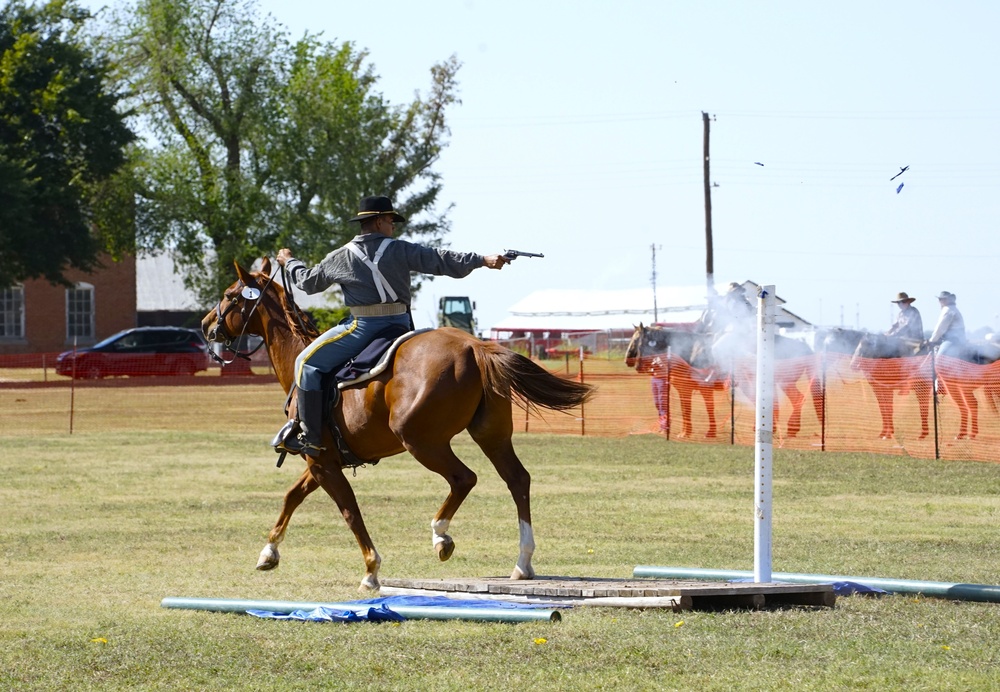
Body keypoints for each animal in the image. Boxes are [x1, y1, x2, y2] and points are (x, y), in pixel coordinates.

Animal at [201, 260, 592, 588]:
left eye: (230, 295)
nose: (206, 325)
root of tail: (473, 346)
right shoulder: (323, 461)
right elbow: (292, 496)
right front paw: (268, 552)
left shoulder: (323, 463)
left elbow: (349, 511)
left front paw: (371, 571)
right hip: (491, 436)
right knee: (517, 480)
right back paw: (522, 563)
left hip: (422, 442)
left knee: (464, 478)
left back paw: (441, 535)